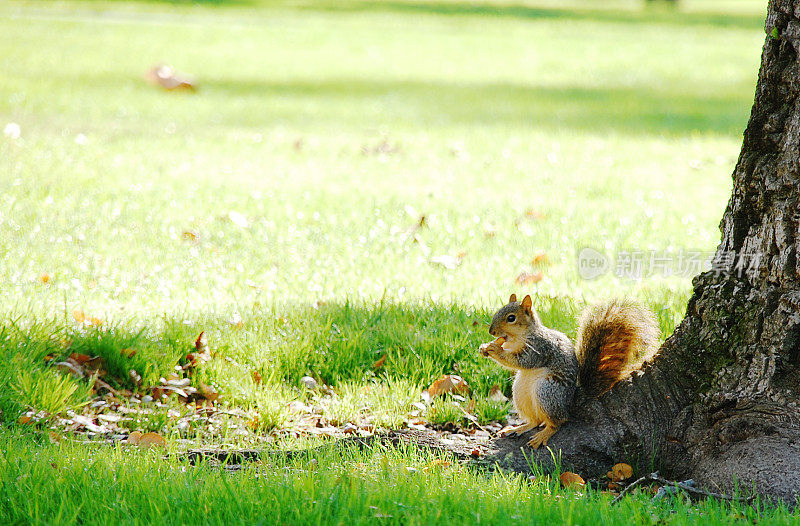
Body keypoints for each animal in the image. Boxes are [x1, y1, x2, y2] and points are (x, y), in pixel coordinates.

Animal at [478, 296, 660, 450]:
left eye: (511, 318)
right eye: (498, 311)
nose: (491, 332)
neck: (517, 338)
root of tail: (569, 403)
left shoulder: (540, 348)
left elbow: (523, 361)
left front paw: (495, 349)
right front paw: (484, 347)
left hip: (547, 391)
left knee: (558, 421)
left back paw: (543, 435)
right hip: (521, 393)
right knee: (536, 421)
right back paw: (519, 428)